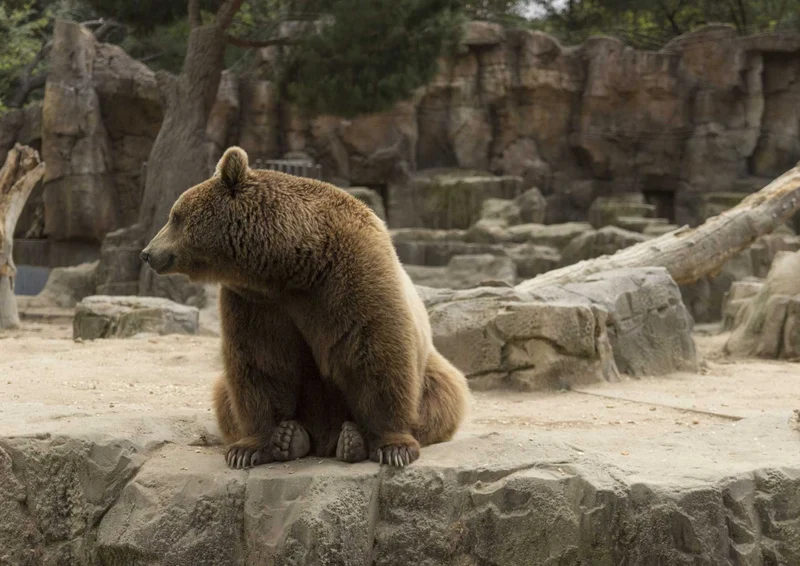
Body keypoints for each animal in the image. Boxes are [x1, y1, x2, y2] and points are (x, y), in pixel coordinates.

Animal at [141, 146, 471, 468]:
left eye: (175, 216)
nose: (147, 252)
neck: (292, 263)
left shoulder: (352, 275)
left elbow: (374, 350)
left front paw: (394, 447)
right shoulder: (257, 302)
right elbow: (261, 361)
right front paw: (252, 447)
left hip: (431, 369)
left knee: (442, 394)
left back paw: (351, 439)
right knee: (224, 394)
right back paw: (295, 438)